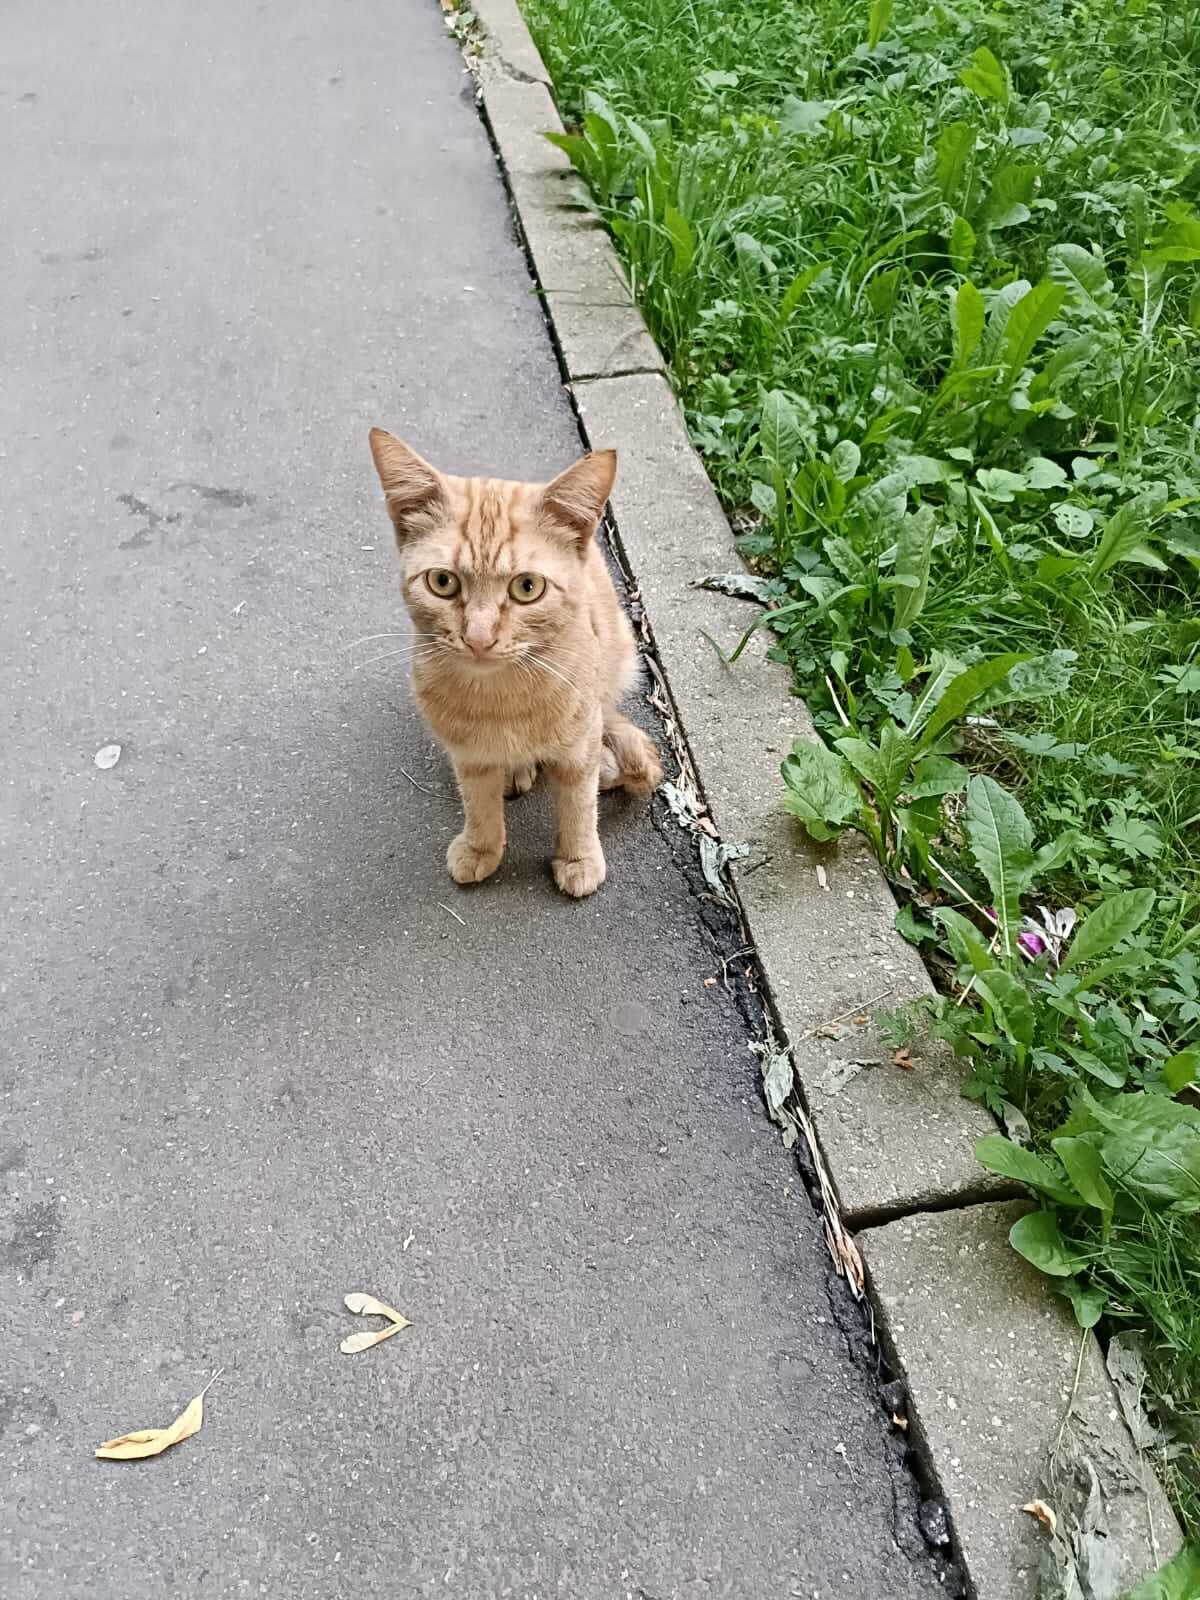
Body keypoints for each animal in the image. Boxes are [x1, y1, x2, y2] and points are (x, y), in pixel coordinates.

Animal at [369, 432, 668, 896]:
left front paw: (579, 857)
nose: (479, 637)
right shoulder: (467, 753)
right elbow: (478, 801)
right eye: (442, 582)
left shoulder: (579, 741)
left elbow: (579, 804)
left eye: (527, 587)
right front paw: (482, 846)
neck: (502, 699)